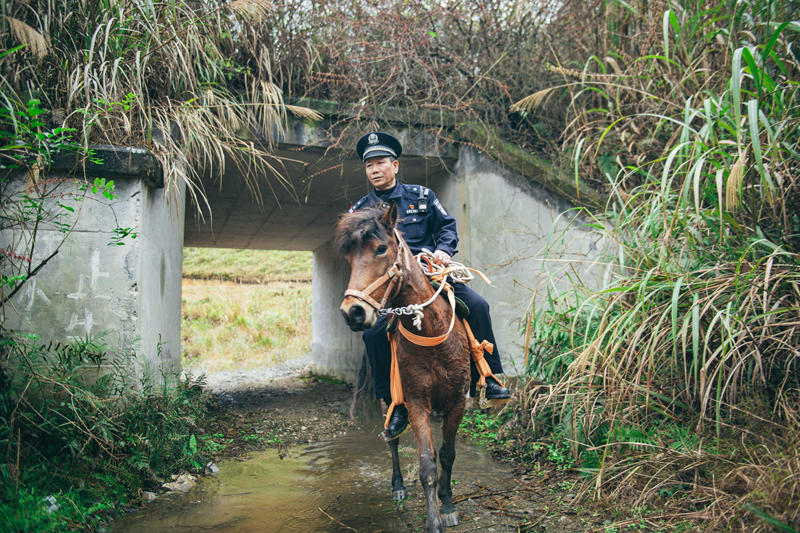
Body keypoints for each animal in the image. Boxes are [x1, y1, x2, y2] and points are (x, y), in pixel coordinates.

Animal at [336, 202, 472, 528]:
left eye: (380, 249)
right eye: (348, 258)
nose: (352, 312)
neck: (432, 334)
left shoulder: (457, 401)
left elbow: (447, 454)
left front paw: (448, 505)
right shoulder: (416, 401)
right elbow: (426, 465)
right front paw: (433, 522)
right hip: (389, 399)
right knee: (393, 440)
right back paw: (397, 486)